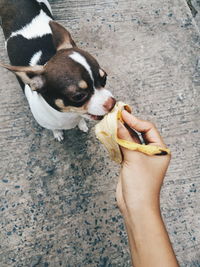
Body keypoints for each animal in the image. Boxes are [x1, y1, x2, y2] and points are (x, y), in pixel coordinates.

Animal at [0, 0, 115, 141]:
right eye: (78, 96)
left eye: (104, 79)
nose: (112, 103)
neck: (68, 116)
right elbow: (54, 128)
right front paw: (57, 133)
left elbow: (81, 119)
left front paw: (81, 124)